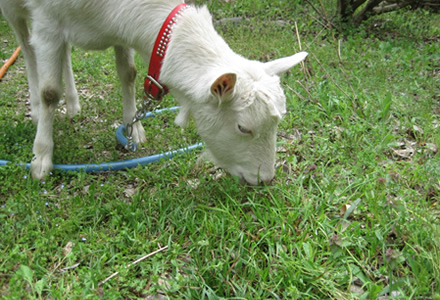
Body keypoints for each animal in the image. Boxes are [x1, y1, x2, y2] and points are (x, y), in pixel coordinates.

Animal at [0, 0, 308, 185]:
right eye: (243, 127)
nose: (265, 179)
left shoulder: (120, 28)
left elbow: (128, 73)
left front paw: (133, 129)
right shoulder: (47, 20)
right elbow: (50, 91)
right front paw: (41, 159)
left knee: (62, 53)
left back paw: (74, 105)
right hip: (16, 10)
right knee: (26, 46)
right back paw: (37, 110)